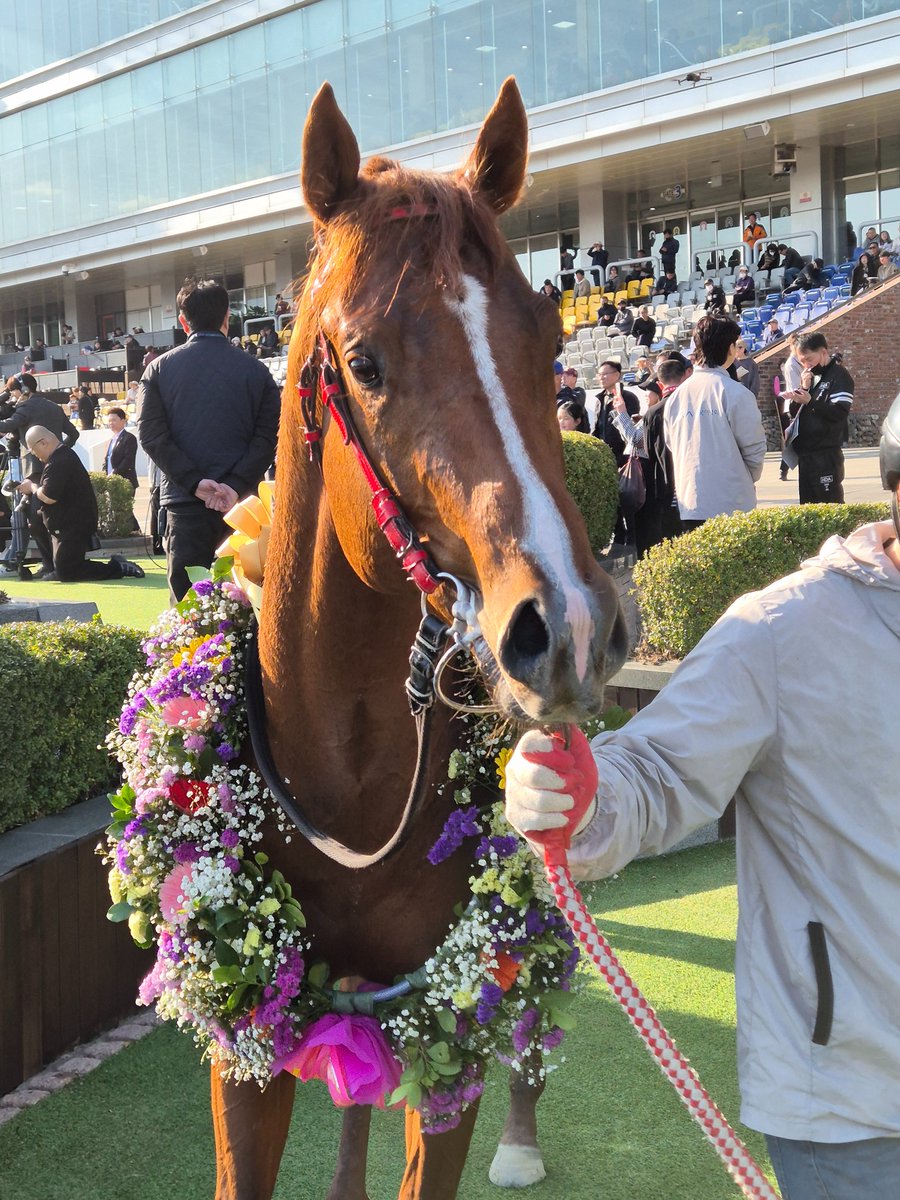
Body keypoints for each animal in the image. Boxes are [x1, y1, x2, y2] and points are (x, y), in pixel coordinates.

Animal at [210, 77, 628, 1199]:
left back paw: (523, 1136)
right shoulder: (244, 1035)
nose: (565, 627)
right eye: (363, 361)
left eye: (550, 338)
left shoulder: (451, 1013)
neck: (347, 786)